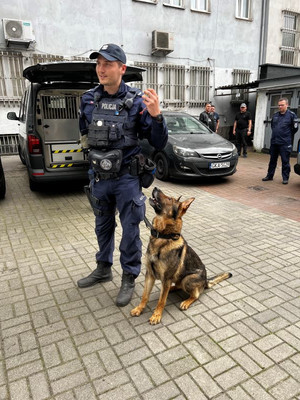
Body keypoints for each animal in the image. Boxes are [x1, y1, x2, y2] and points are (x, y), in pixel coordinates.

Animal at [131, 188, 232, 324]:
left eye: (169, 199)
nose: (155, 188)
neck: (164, 236)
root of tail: (205, 281)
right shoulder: (150, 275)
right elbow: (144, 295)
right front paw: (139, 308)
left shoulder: (166, 278)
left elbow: (161, 301)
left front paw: (157, 315)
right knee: (174, 287)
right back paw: (172, 289)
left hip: (187, 279)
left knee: (196, 294)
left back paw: (186, 301)